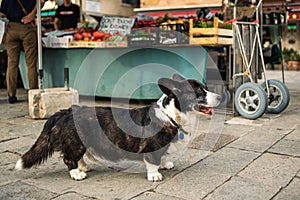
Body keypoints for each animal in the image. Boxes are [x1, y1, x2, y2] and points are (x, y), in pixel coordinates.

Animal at [15, 74, 221, 182]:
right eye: (199, 92)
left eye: (205, 87)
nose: (220, 97)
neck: (172, 116)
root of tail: (65, 111)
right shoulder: (152, 149)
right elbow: (153, 162)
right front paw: (155, 175)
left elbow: (163, 157)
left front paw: (166, 164)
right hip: (75, 143)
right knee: (69, 158)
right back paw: (77, 174)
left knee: (78, 157)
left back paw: (85, 167)